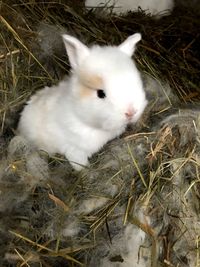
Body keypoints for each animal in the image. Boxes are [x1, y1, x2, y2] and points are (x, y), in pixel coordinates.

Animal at [17, 33, 147, 171]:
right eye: (100, 93)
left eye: (137, 83)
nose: (131, 112)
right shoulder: (75, 151)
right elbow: (80, 164)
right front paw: (85, 170)